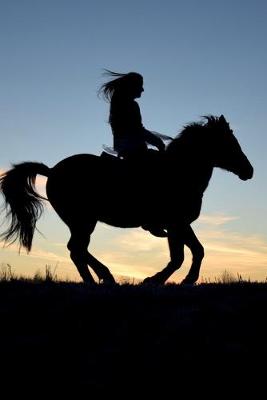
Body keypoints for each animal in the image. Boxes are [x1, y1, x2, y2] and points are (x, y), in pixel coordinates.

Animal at [0, 114, 255, 286]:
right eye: (228, 143)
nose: (249, 171)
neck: (179, 172)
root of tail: (52, 171)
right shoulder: (176, 223)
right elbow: (183, 256)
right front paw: (158, 280)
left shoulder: (179, 225)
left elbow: (191, 252)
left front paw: (176, 279)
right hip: (83, 220)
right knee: (76, 249)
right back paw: (102, 278)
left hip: (81, 222)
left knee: (77, 250)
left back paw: (100, 278)